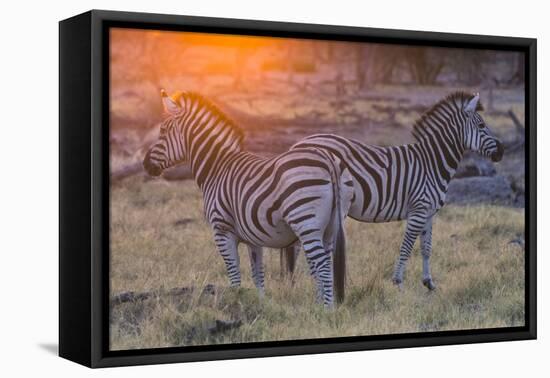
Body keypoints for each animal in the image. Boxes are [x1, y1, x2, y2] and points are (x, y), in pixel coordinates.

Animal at [143, 90, 354, 306]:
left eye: (163, 131)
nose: (145, 164)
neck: (217, 168)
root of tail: (327, 159)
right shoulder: (254, 238)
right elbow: (257, 275)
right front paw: (261, 304)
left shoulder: (222, 230)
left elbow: (234, 275)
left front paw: (236, 302)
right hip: (330, 226)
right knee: (326, 264)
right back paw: (319, 306)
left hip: (306, 222)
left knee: (323, 267)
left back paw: (326, 309)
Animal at [284, 91, 504, 290]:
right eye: (482, 125)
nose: (501, 152)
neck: (432, 162)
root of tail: (296, 145)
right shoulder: (418, 210)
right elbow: (406, 247)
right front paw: (398, 283)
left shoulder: (428, 212)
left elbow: (426, 248)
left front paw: (428, 283)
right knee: (301, 245)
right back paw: (299, 283)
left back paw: (295, 282)